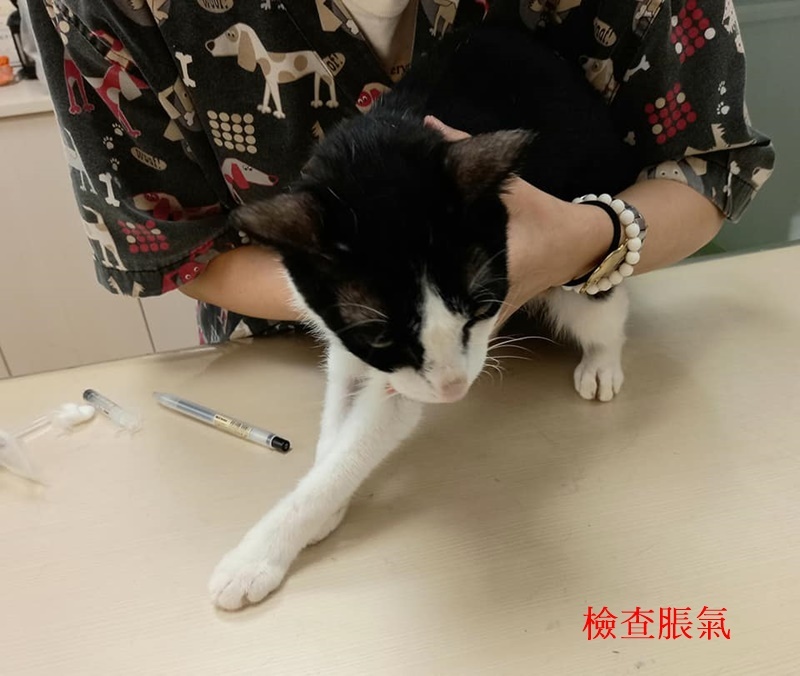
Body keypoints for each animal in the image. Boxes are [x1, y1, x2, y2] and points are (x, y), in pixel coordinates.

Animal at [208, 21, 640, 610]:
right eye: (377, 336)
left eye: (482, 305)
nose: (456, 389)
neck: (377, 138)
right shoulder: (346, 339)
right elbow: (339, 408)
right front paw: (324, 496)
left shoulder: (411, 381)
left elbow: (370, 431)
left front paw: (258, 554)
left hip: (579, 250)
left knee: (601, 308)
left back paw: (602, 361)